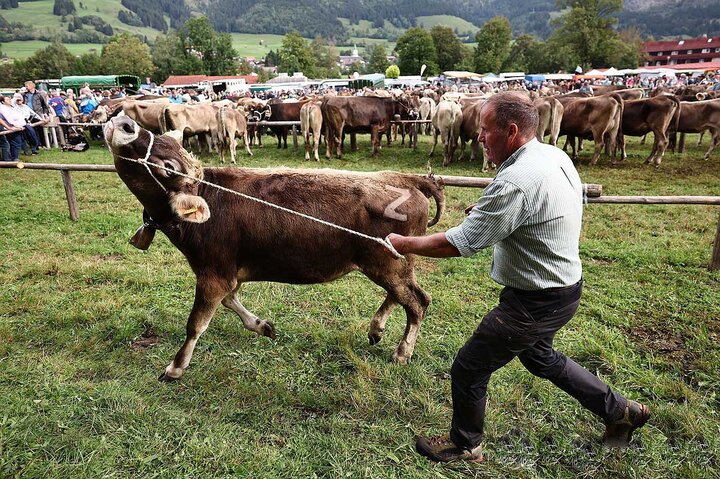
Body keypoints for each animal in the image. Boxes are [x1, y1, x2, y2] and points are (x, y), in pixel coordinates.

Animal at [105, 117, 448, 382]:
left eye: (169, 167)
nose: (125, 123)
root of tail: (407, 179)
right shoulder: (229, 273)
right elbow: (232, 302)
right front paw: (262, 326)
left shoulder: (213, 274)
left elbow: (196, 324)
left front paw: (175, 368)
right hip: (394, 263)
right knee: (406, 296)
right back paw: (376, 329)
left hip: (388, 263)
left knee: (417, 302)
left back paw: (402, 352)